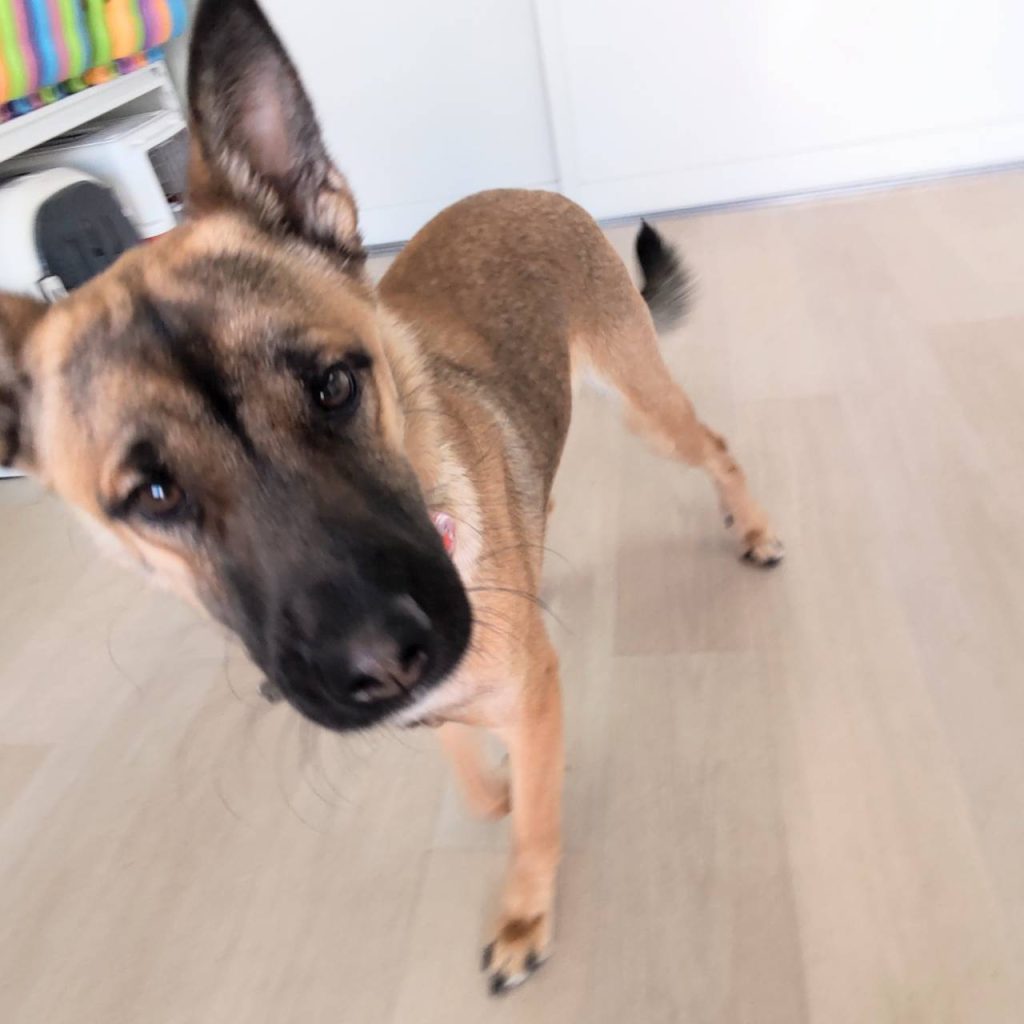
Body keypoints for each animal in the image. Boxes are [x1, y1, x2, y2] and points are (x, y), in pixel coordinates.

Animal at [0, 0, 782, 995]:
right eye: (153, 494)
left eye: (334, 385)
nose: (379, 662)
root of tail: (530, 191)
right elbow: (477, 780)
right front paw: (492, 779)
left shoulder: (526, 693)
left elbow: (534, 819)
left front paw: (524, 910)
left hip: (645, 406)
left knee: (715, 449)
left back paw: (751, 528)